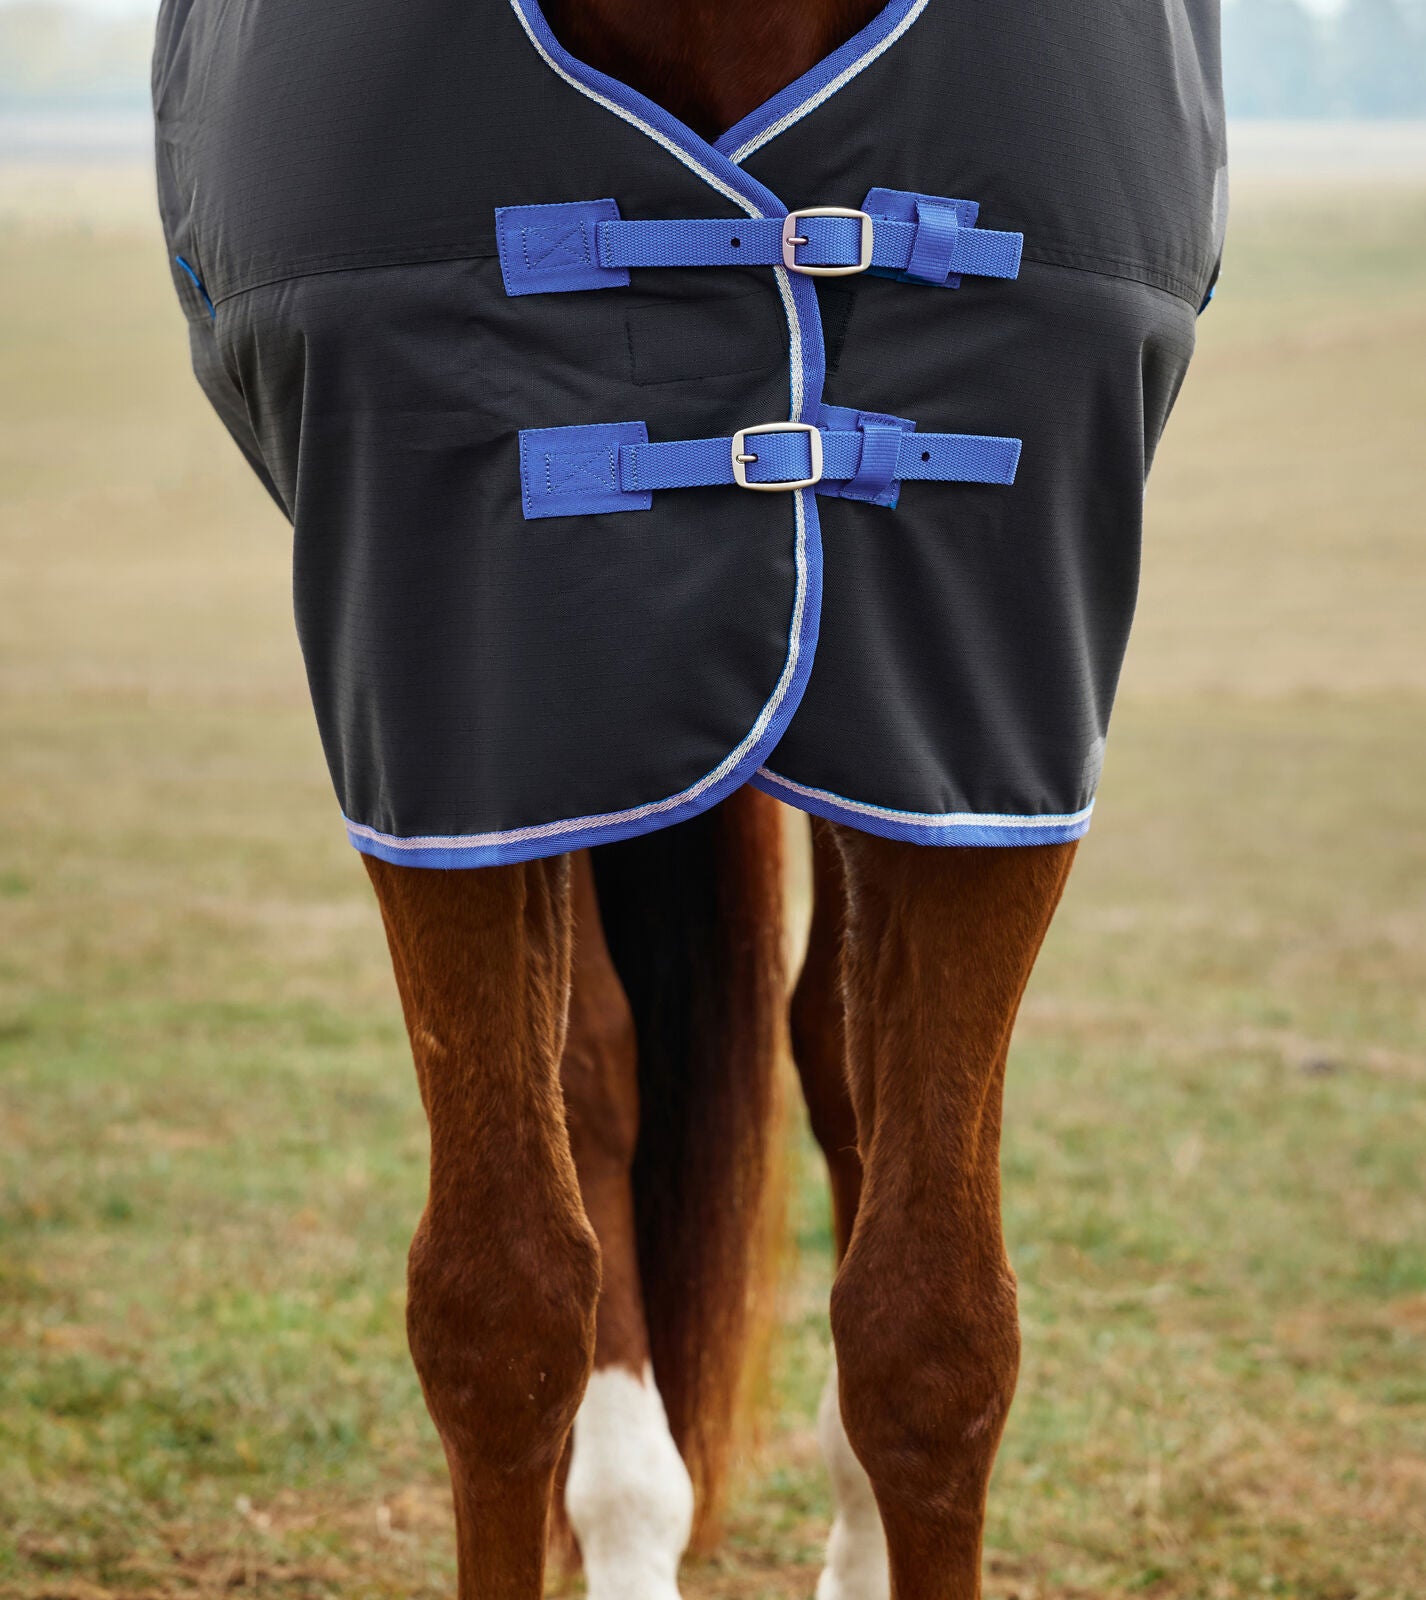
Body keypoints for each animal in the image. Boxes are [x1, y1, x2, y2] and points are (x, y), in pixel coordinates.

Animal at [152, 0, 1224, 1593]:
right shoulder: (444, 703)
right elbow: (498, 1306)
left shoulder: (993, 704)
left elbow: (935, 1331)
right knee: (605, 1080)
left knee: (834, 1068)